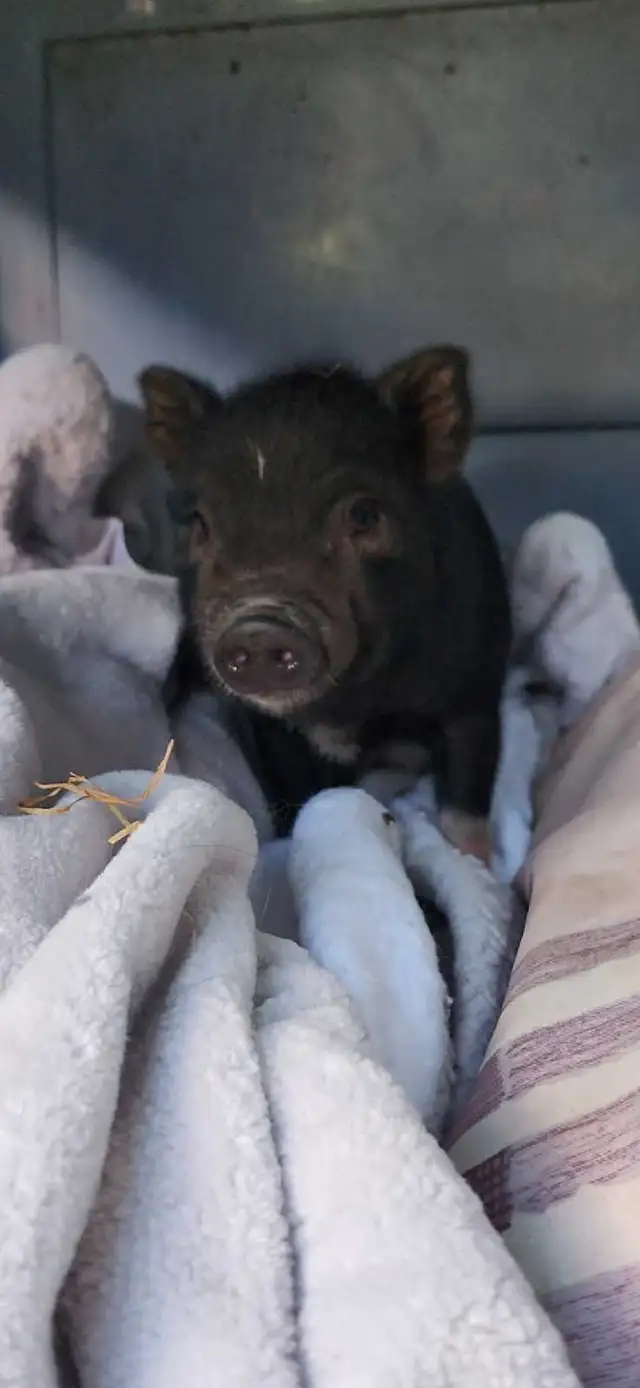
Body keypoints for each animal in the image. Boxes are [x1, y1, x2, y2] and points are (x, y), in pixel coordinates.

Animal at [138, 346, 511, 859]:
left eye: (364, 514)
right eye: (200, 524)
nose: (258, 624)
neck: (355, 710)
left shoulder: (476, 688)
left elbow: (466, 807)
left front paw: (482, 871)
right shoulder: (272, 728)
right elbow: (300, 794)